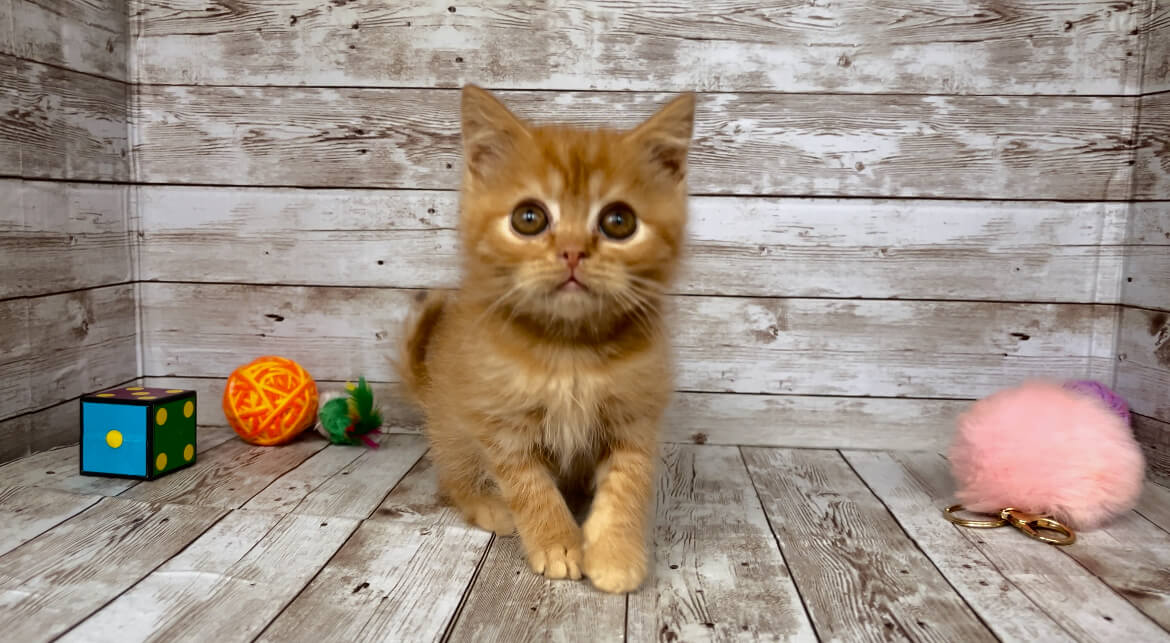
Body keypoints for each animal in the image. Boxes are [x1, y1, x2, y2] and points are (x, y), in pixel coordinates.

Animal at [398, 85, 694, 594]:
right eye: (529, 218)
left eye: (619, 221)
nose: (572, 251)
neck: (569, 349)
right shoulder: (500, 421)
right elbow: (530, 489)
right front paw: (557, 544)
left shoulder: (635, 416)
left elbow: (628, 486)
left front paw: (615, 554)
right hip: (454, 429)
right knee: (453, 477)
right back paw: (487, 505)